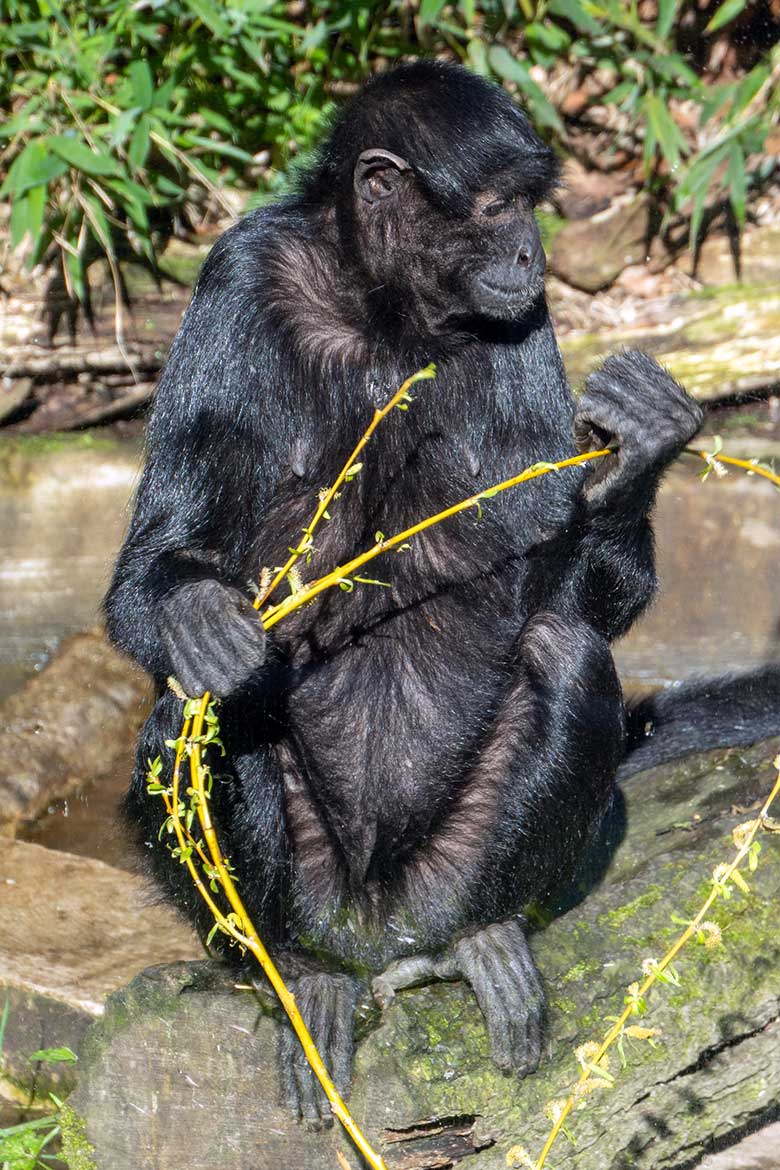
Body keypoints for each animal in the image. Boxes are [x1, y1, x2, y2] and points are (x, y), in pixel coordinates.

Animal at [105, 61, 780, 1123]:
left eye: (529, 209)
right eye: (499, 207)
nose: (532, 249)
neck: (386, 314)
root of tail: (378, 922)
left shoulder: (523, 315)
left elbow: (579, 601)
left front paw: (643, 442)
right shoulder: (238, 275)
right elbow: (152, 569)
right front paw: (200, 618)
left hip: (444, 872)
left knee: (562, 650)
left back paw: (482, 934)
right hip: (317, 883)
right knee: (192, 716)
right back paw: (300, 969)